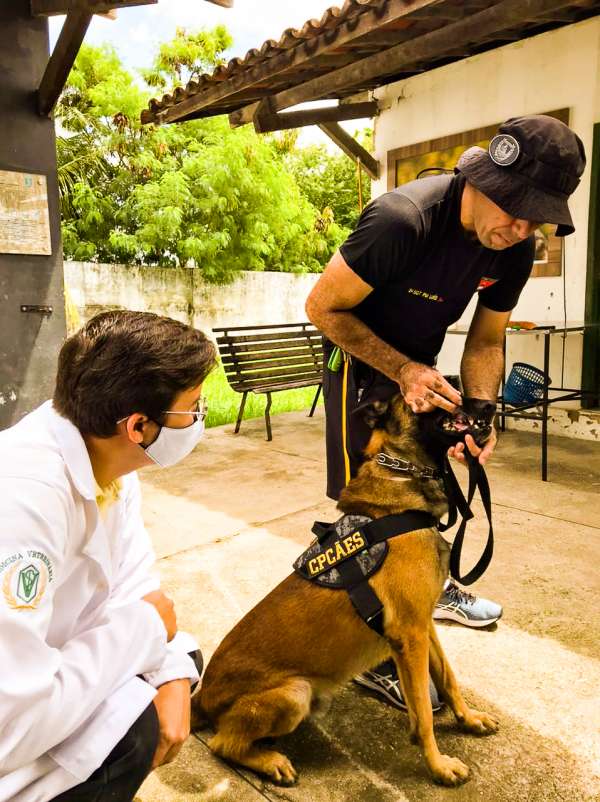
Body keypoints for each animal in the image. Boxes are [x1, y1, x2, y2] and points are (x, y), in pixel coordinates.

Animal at [195, 396, 500, 784]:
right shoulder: (410, 634)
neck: (402, 478)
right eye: (439, 394)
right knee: (221, 744)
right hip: (295, 692)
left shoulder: (422, 627)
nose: (490, 405)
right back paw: (270, 761)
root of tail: (202, 698)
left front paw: (468, 720)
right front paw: (438, 765)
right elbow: (425, 714)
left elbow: (448, 678)